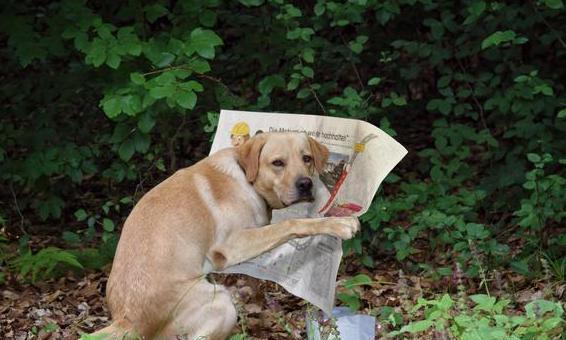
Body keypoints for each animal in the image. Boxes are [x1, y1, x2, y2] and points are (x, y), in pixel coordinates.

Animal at [93, 131, 360, 338]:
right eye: (277, 163)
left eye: (307, 159)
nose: (306, 184)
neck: (246, 176)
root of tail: (127, 320)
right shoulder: (232, 245)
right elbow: (292, 223)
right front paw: (340, 223)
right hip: (221, 304)